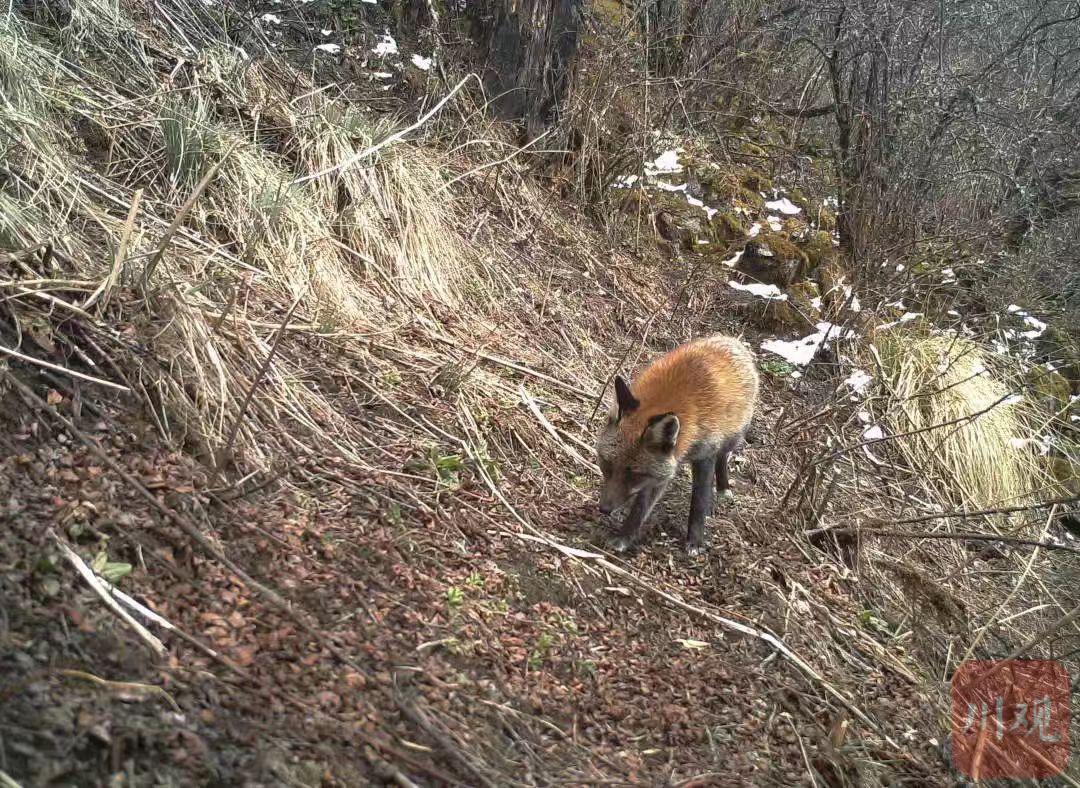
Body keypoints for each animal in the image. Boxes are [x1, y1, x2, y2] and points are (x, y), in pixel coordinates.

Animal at [596, 332, 764, 552]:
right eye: (606, 464)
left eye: (634, 474)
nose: (604, 509)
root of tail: (731, 340)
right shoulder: (660, 471)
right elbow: (641, 507)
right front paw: (624, 536)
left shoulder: (704, 455)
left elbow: (699, 501)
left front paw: (695, 540)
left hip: (733, 438)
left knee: (722, 458)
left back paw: (722, 488)